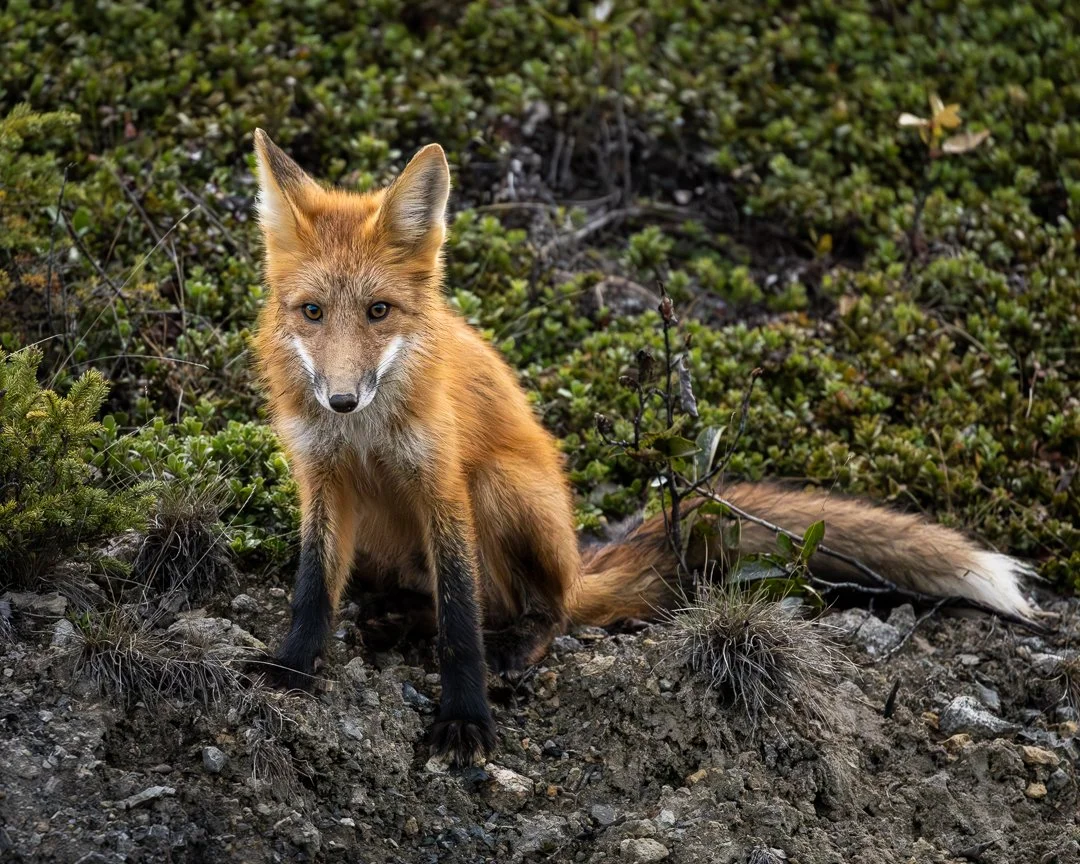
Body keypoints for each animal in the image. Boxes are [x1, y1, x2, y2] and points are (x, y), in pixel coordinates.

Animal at [249, 129, 1036, 766]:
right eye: (312, 312)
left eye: (379, 311)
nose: (341, 400)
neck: (365, 435)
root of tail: (580, 562)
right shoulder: (321, 481)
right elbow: (313, 590)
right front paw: (291, 669)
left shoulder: (442, 485)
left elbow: (460, 624)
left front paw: (465, 718)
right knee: (453, 601)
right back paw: (394, 618)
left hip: (502, 489)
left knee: (531, 610)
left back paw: (513, 642)